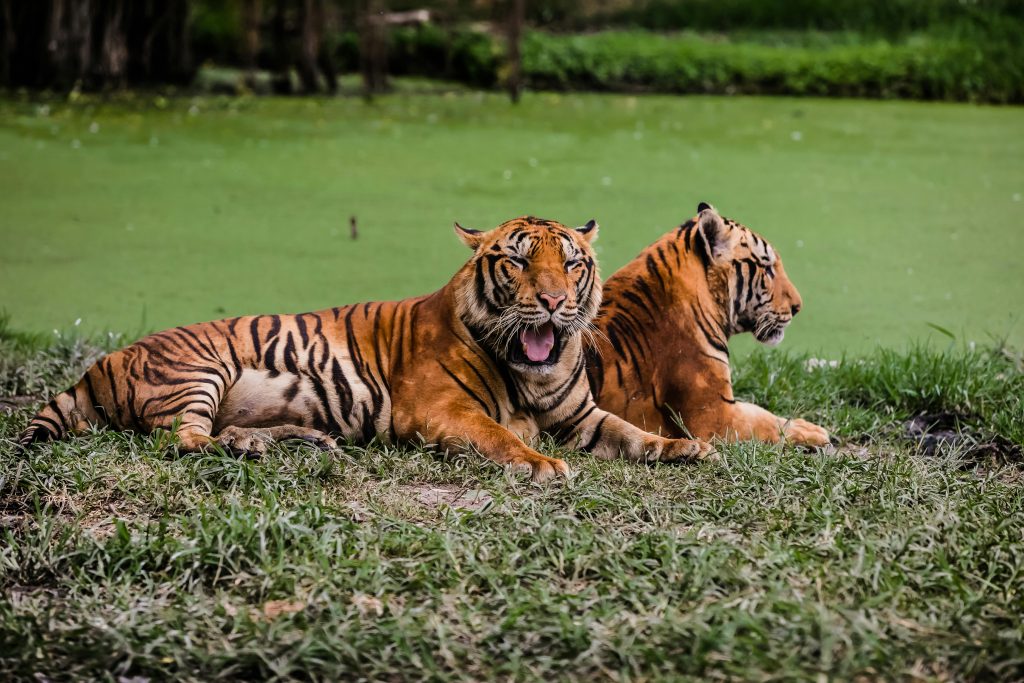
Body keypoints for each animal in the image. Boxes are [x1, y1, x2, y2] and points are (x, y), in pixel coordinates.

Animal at [22, 214, 712, 481]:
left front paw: (686, 448)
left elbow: (631, 433)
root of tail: (101, 361)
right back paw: (252, 446)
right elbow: (500, 437)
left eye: (571, 264)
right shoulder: (439, 410)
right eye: (517, 262)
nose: (550, 300)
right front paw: (542, 466)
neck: (534, 372)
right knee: (183, 440)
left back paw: (290, 441)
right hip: (198, 371)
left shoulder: (583, 415)